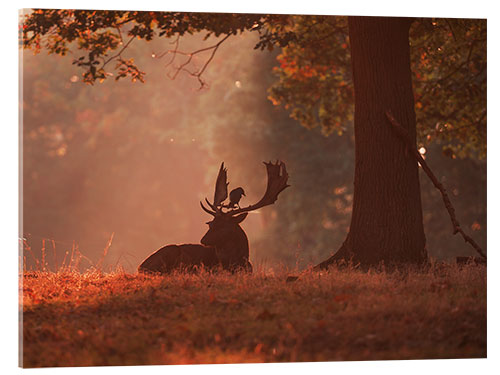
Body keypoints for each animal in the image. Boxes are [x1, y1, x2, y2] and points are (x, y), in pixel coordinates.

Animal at [137, 160, 290, 274]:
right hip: (170, 252)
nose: (203, 240)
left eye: (223, 226)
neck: (237, 262)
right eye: (211, 224)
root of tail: (140, 267)